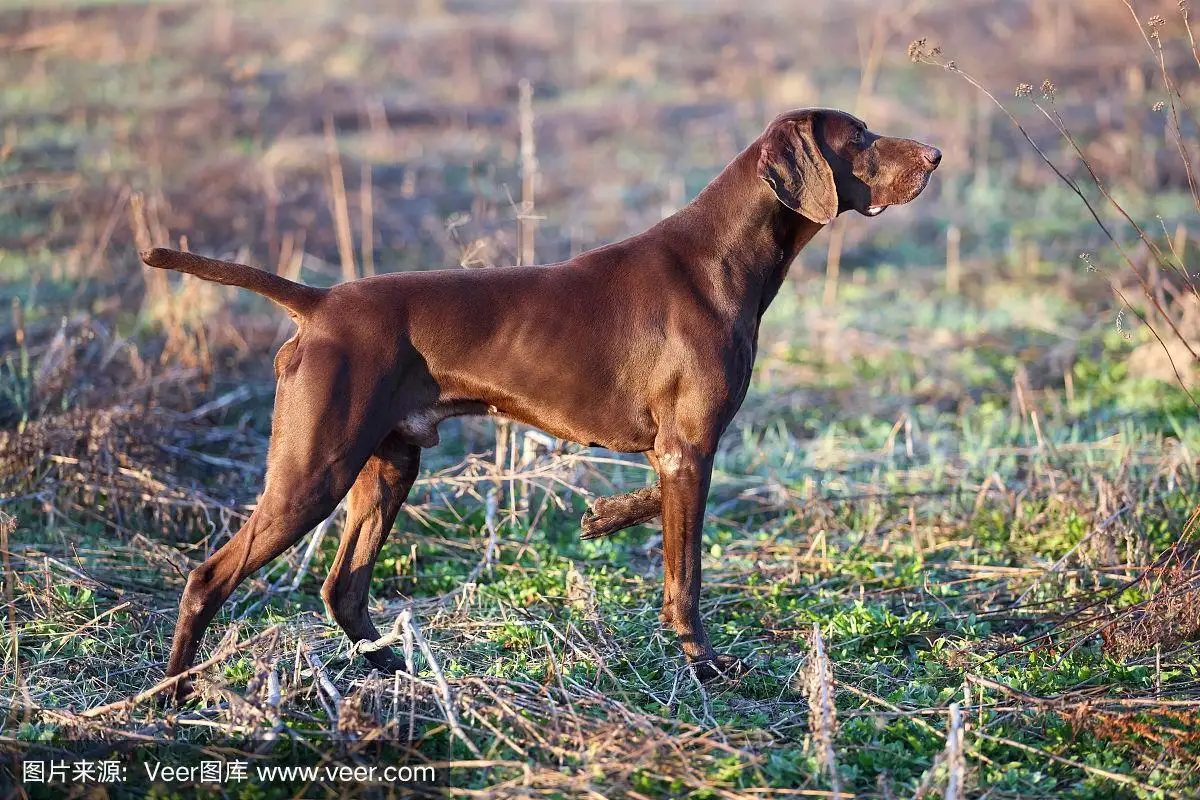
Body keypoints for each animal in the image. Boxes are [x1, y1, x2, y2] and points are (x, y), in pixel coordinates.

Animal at [142, 106, 936, 695]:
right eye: (860, 138)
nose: (933, 155)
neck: (723, 258)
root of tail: (320, 302)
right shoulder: (689, 448)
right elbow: (685, 576)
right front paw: (704, 664)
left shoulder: (678, 454)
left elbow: (649, 505)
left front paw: (603, 517)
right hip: (313, 472)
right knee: (209, 577)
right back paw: (174, 694)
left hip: (389, 465)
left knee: (344, 586)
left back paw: (392, 666)